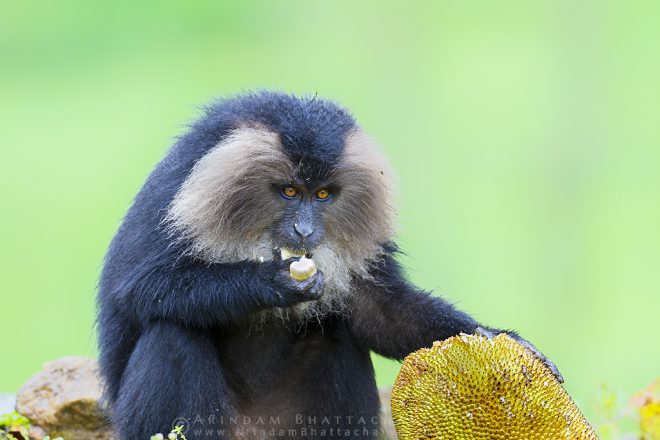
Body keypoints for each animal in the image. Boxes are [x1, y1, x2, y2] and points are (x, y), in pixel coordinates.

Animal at [97, 91, 561, 440]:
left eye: (322, 195)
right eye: (289, 191)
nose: (304, 231)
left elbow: (380, 312)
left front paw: (495, 336)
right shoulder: (175, 194)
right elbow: (138, 289)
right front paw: (273, 282)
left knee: (335, 333)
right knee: (171, 333)